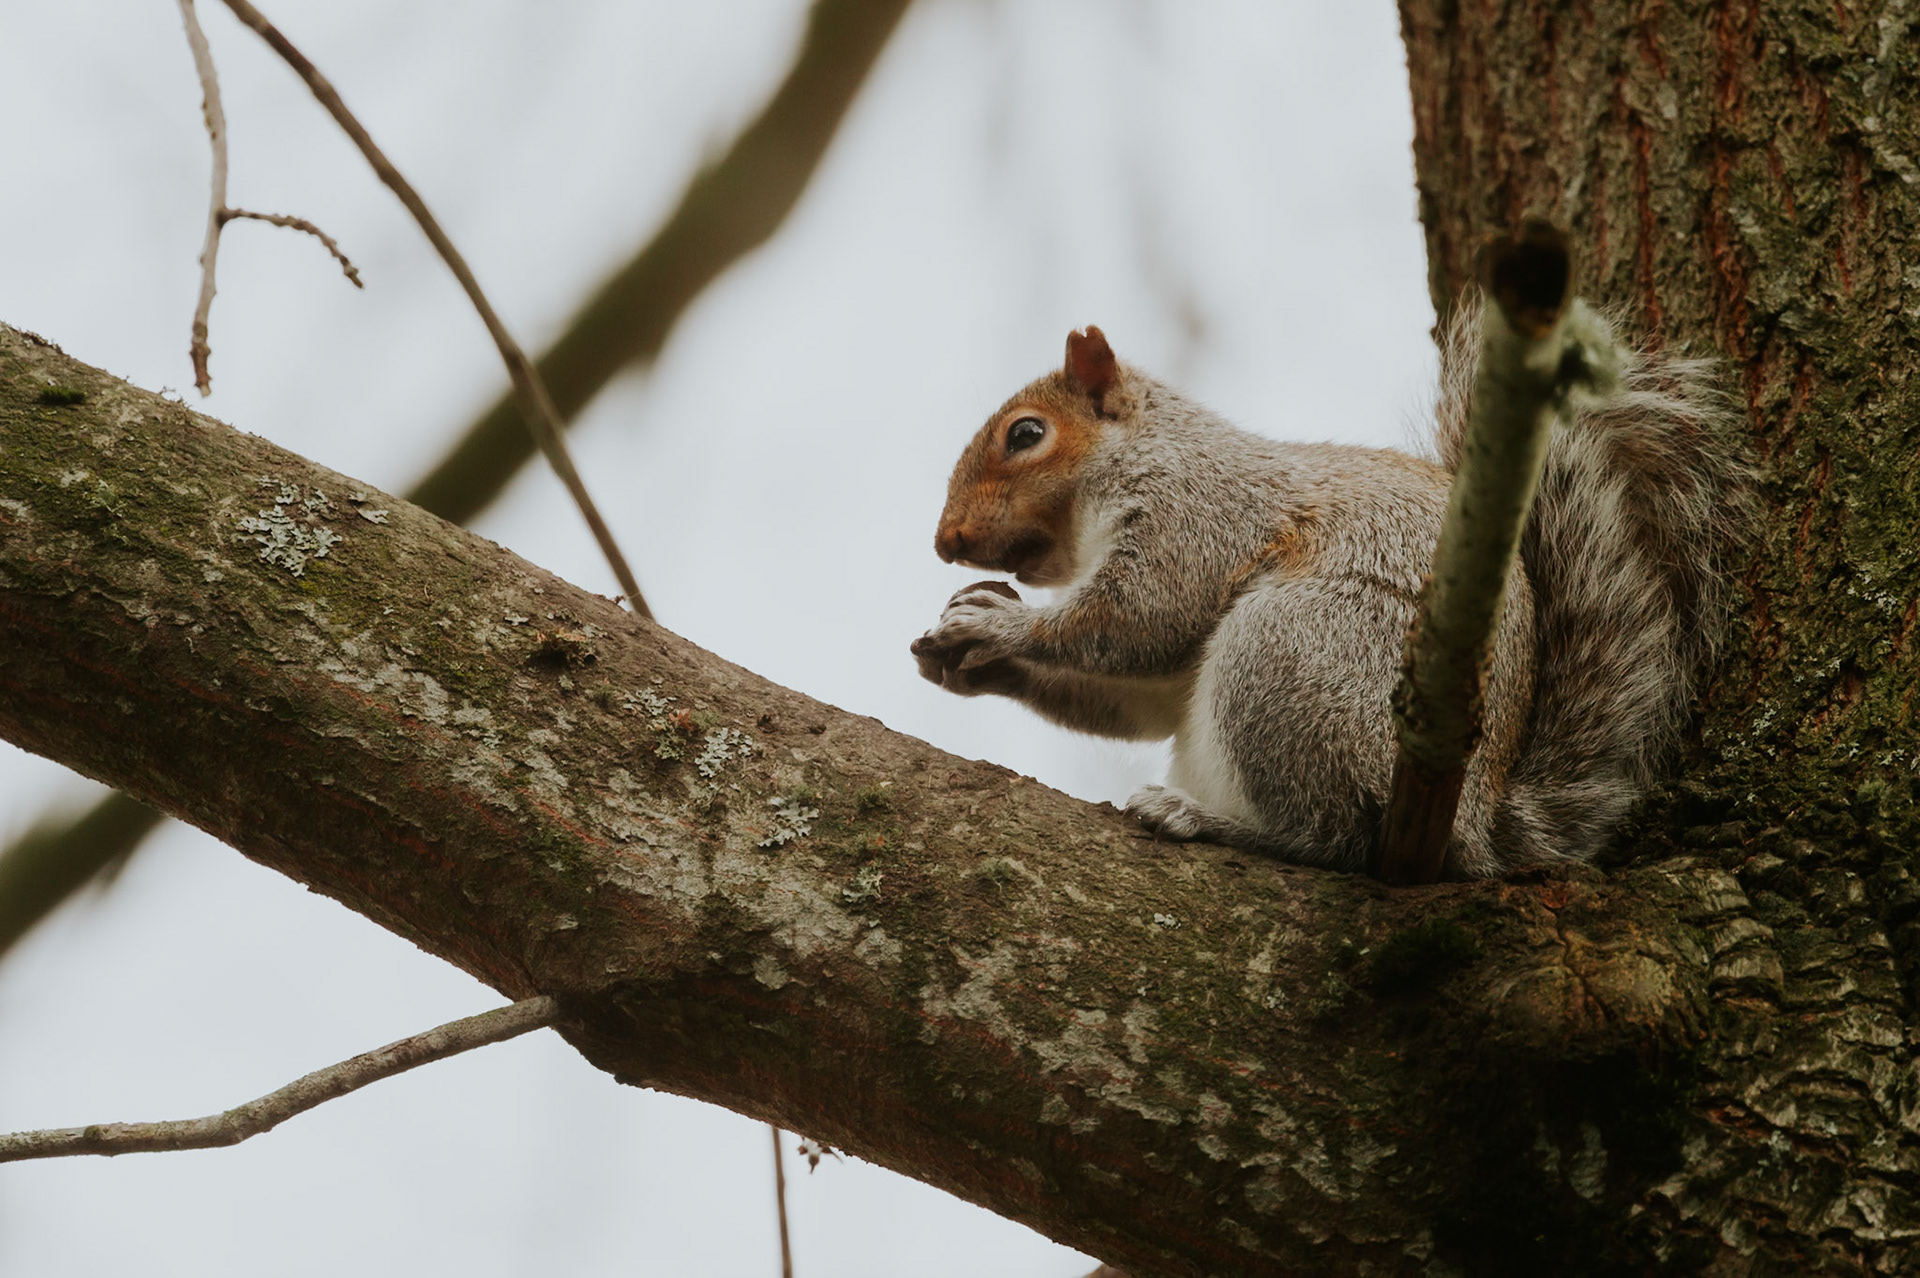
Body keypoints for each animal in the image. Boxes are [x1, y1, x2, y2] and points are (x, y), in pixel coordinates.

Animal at [909, 299, 1750, 877]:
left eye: (1027, 435)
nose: (946, 541)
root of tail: (1475, 820)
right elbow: (1139, 697)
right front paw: (973, 659)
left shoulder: (1200, 517)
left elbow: (1138, 622)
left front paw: (996, 629)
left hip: (1291, 653)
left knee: (1336, 837)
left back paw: (1209, 822)